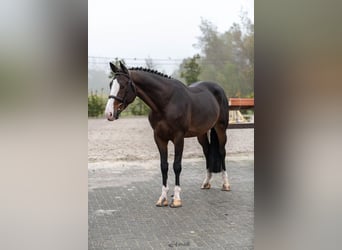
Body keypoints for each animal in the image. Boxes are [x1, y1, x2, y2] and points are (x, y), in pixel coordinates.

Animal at [105, 61, 231, 208]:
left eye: (124, 86)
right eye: (110, 84)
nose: (109, 113)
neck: (167, 102)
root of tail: (218, 88)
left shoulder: (179, 138)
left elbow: (177, 166)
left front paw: (176, 199)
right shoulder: (159, 138)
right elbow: (163, 166)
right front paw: (163, 198)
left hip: (221, 128)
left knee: (222, 152)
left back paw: (226, 184)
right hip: (202, 133)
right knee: (207, 152)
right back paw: (206, 183)